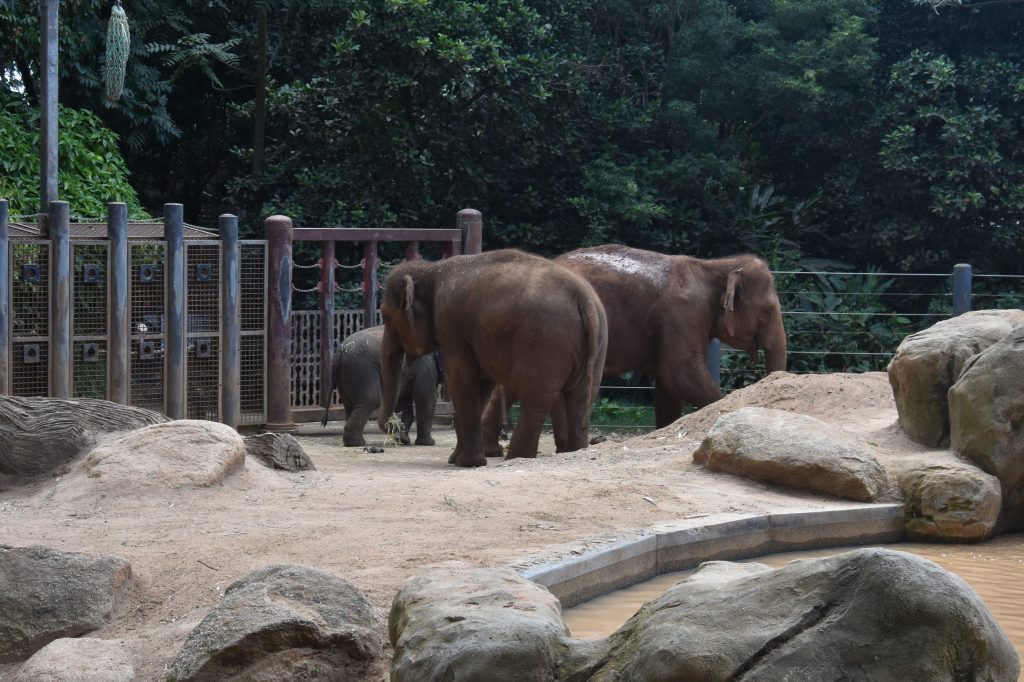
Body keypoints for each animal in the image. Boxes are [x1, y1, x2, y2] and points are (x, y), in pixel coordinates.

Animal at [377, 249, 608, 467]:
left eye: (385, 316)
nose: (392, 427)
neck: (431, 269)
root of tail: (585, 300)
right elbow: (481, 383)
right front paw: (456, 459)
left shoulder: (451, 325)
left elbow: (462, 378)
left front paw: (467, 463)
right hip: (595, 348)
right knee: (580, 397)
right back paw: (575, 451)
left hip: (545, 341)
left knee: (535, 399)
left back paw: (516, 458)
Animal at [482, 245, 787, 445]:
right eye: (767, 311)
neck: (714, 266)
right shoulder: (682, 315)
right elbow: (681, 375)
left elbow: (668, 388)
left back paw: (491, 450)